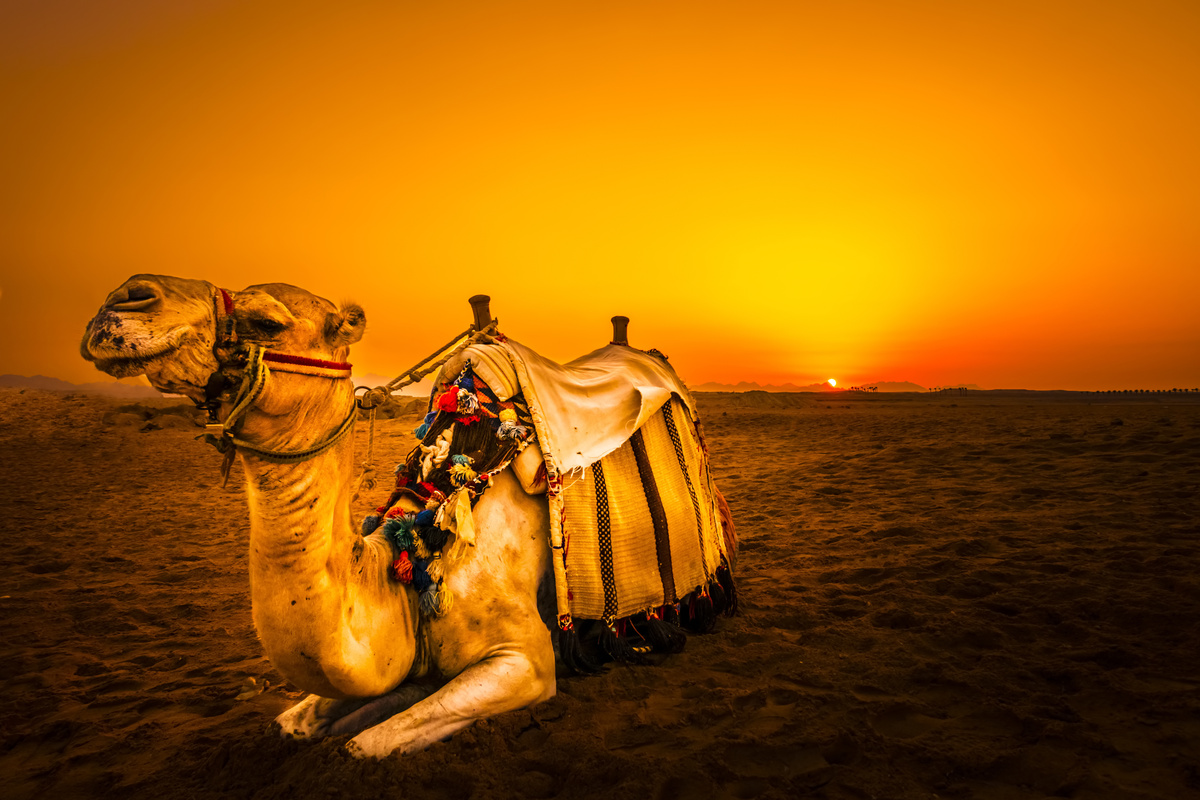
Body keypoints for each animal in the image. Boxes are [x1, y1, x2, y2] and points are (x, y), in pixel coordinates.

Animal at [82, 273, 729, 758]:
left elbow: (362, 747)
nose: (125, 298)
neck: (414, 561)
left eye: (265, 320)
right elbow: (294, 723)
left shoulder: (525, 662)